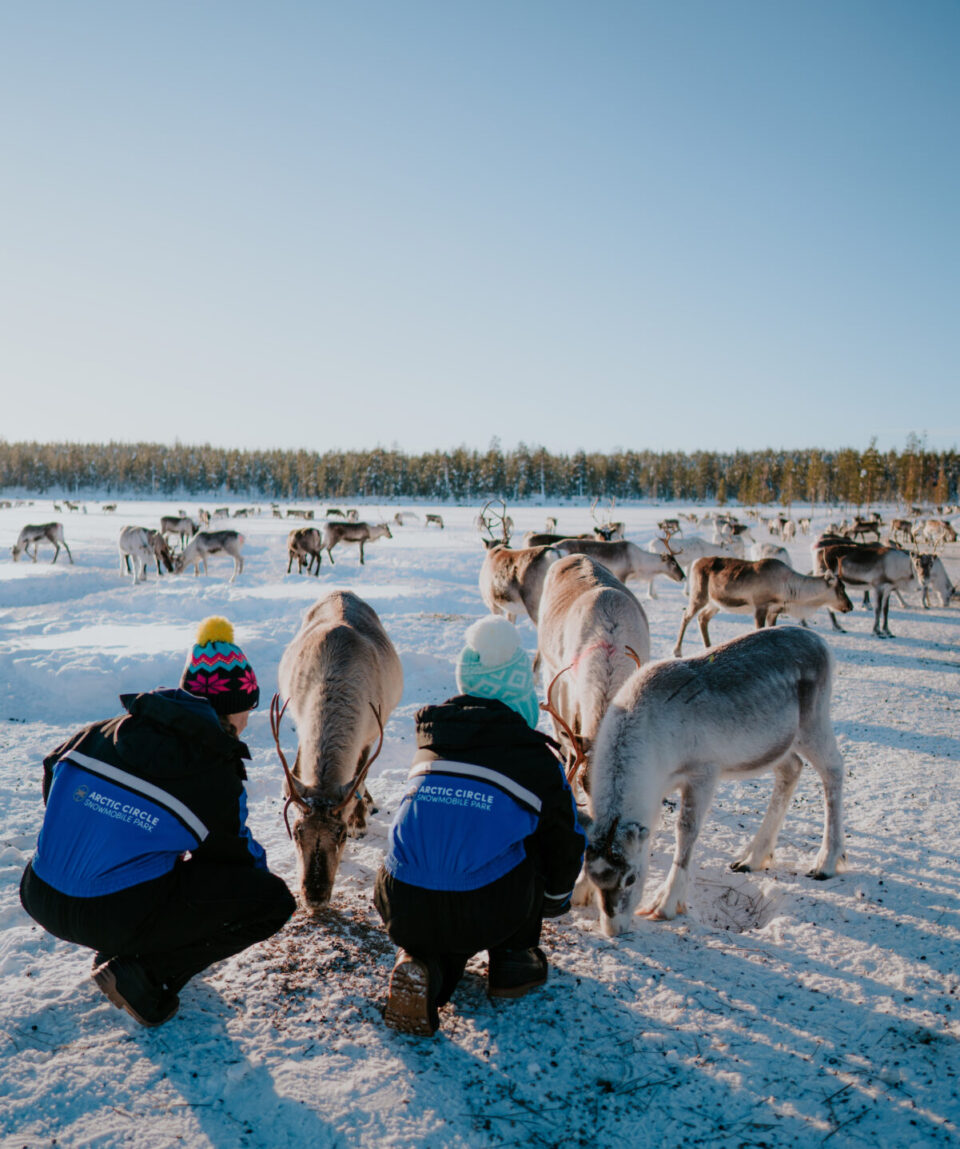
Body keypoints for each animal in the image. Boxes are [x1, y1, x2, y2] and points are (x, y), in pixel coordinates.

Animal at [273, 590, 404, 912]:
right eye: (297, 831)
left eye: (341, 834)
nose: (315, 897)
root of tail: (343, 592)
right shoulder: (300, 719)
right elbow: (297, 770)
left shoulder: (370, 734)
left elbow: (361, 777)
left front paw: (359, 820)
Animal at [578, 626, 845, 936]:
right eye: (594, 876)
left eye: (631, 878)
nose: (614, 928)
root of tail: (821, 642)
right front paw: (579, 893)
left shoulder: (703, 771)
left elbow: (686, 832)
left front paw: (665, 904)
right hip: (779, 743)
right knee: (791, 769)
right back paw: (751, 858)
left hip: (813, 722)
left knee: (834, 769)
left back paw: (826, 861)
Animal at [674, 557, 853, 657]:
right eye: (841, 588)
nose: (850, 606)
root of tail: (696, 562)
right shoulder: (760, 606)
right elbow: (759, 630)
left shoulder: (774, 611)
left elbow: (771, 629)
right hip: (699, 596)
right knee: (686, 616)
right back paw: (678, 651)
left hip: (715, 604)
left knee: (703, 618)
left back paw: (708, 647)